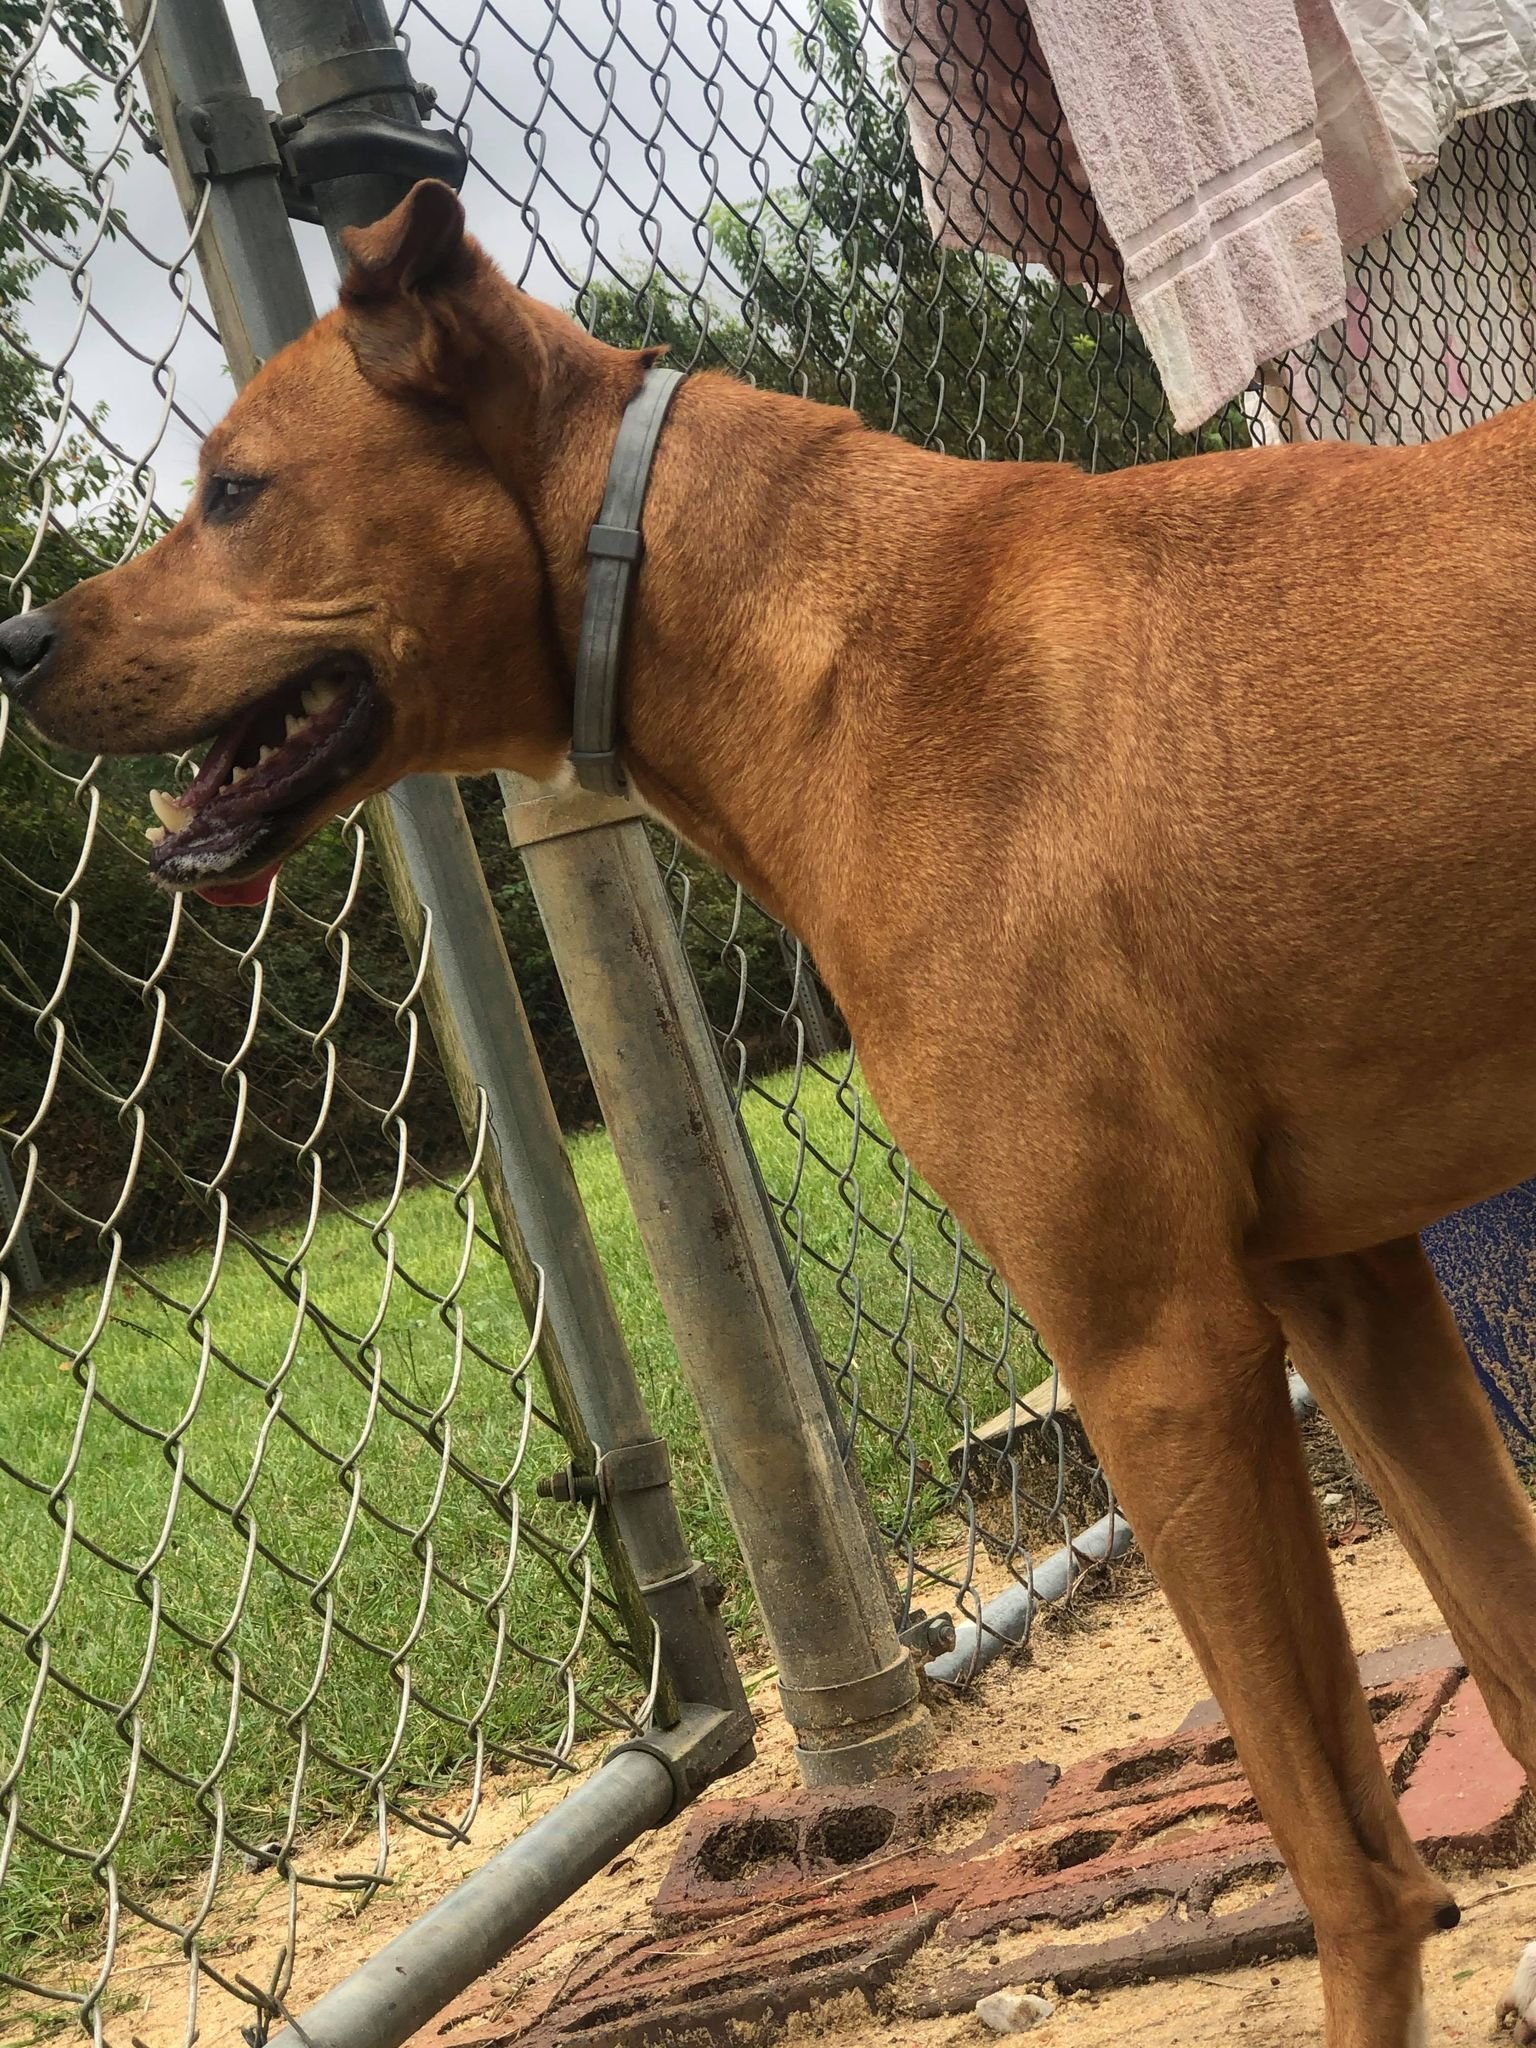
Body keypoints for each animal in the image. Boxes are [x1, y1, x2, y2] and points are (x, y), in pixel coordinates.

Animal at [9, 180, 1536, 2048]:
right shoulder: (1346, 1282)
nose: (13, 640)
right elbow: (1514, 1657)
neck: (817, 633)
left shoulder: (1159, 1351)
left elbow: (1346, 1866)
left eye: (232, 489)